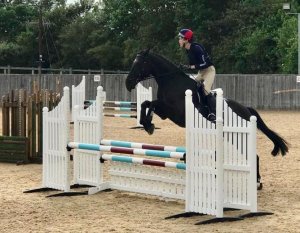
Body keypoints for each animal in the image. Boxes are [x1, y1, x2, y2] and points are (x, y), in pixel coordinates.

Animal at [126, 50, 288, 185]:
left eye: (139, 64)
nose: (128, 83)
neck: (171, 81)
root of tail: (247, 110)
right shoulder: (165, 112)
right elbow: (146, 103)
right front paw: (147, 124)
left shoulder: (174, 111)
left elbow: (151, 104)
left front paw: (149, 125)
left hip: (239, 136)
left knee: (254, 156)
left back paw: (257, 181)